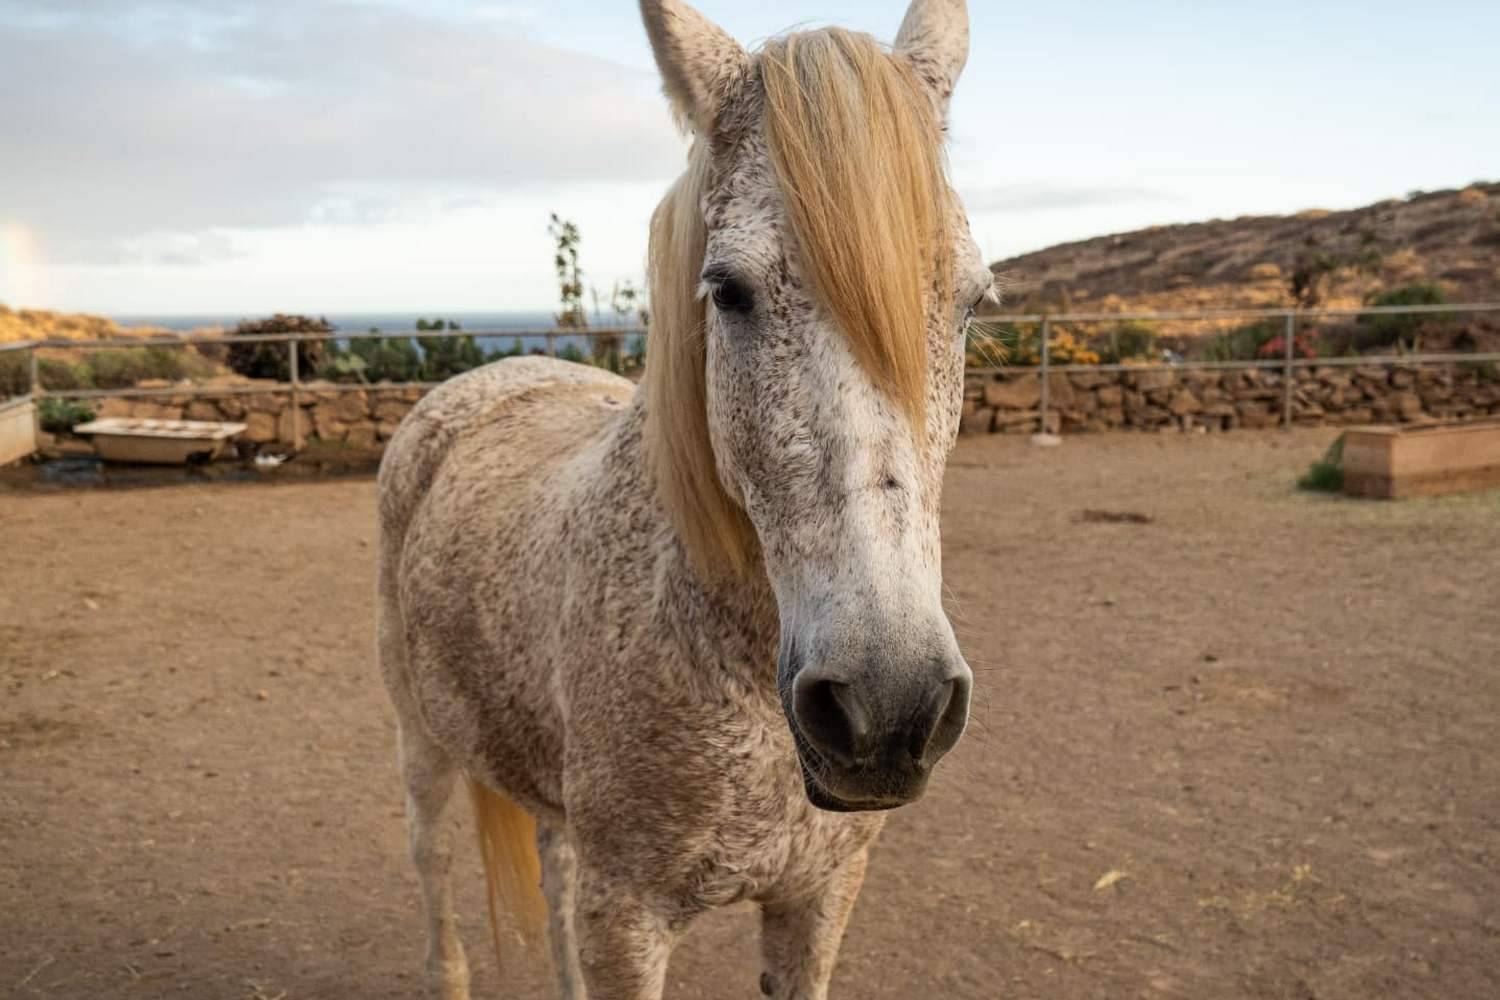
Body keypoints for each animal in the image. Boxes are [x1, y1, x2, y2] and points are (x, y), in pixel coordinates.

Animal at [375, 1, 990, 1000]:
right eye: (727, 291)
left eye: (975, 302)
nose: (887, 705)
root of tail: (483, 381)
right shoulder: (629, 920)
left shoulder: (820, 897)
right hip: (420, 741)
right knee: (433, 875)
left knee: (551, 872)